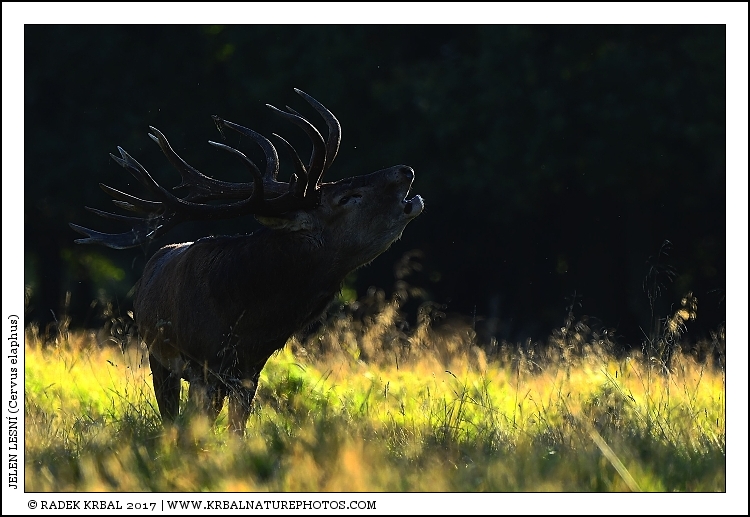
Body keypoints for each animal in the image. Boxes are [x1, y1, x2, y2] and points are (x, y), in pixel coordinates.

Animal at [70, 89, 424, 435]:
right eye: (347, 198)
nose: (405, 170)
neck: (247, 316)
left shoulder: (249, 370)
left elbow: (237, 431)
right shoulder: (202, 365)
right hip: (158, 357)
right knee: (170, 417)